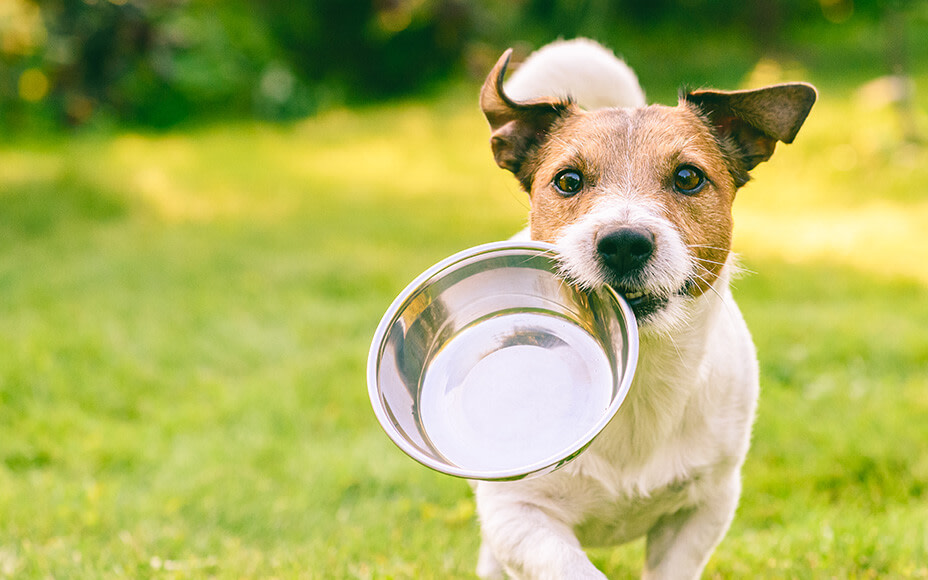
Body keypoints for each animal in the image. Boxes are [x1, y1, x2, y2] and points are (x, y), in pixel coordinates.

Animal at [474, 38, 816, 576]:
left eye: (688, 177)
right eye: (568, 180)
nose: (624, 243)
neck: (640, 380)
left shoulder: (706, 507)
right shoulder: (518, 513)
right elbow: (569, 564)